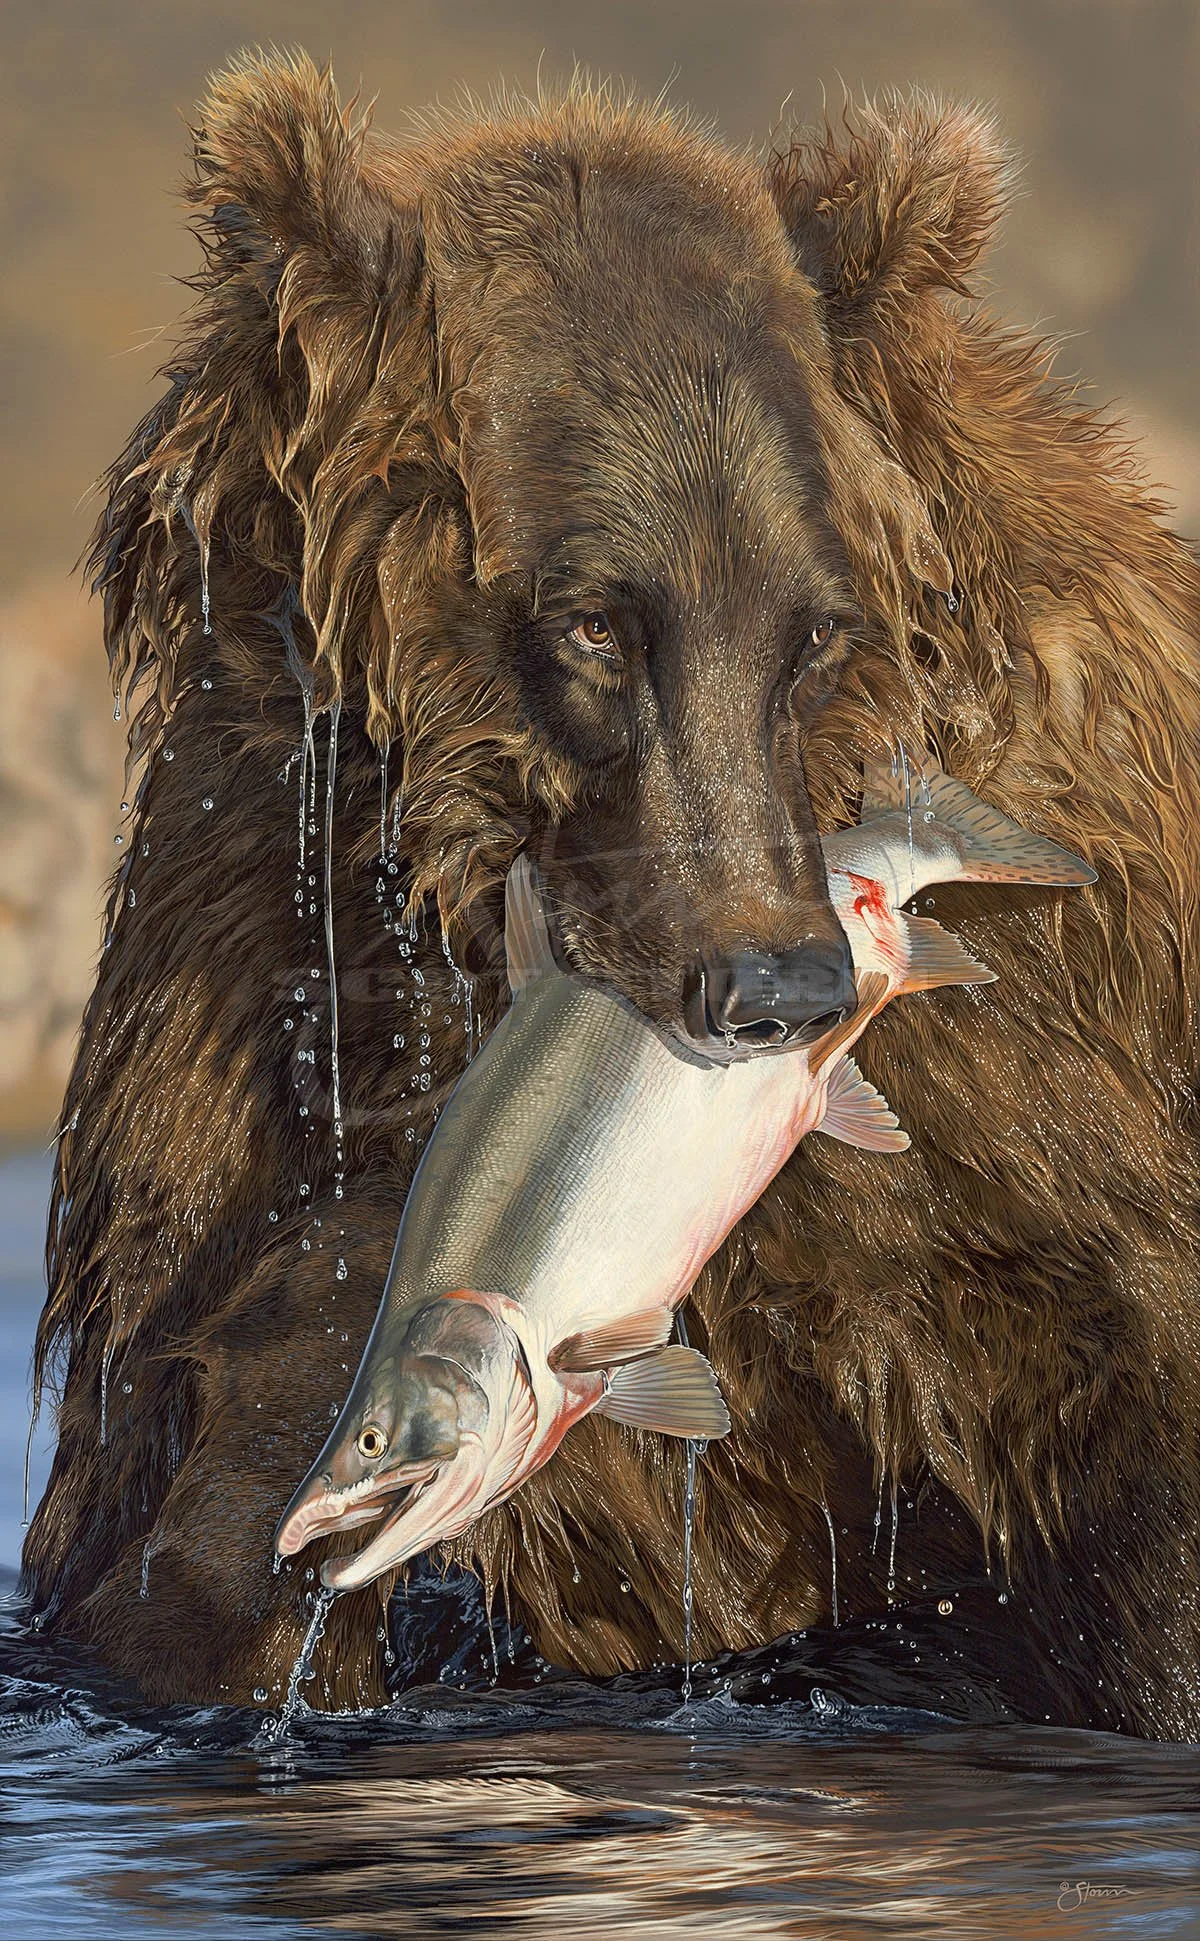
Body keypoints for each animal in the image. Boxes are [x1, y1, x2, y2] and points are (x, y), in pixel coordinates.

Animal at [22, 50, 1200, 1736]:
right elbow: (168, 1473)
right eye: (594, 622)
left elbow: (1117, 1434)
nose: (780, 991)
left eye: (816, 626)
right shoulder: (251, 950)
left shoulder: (1021, 1098)